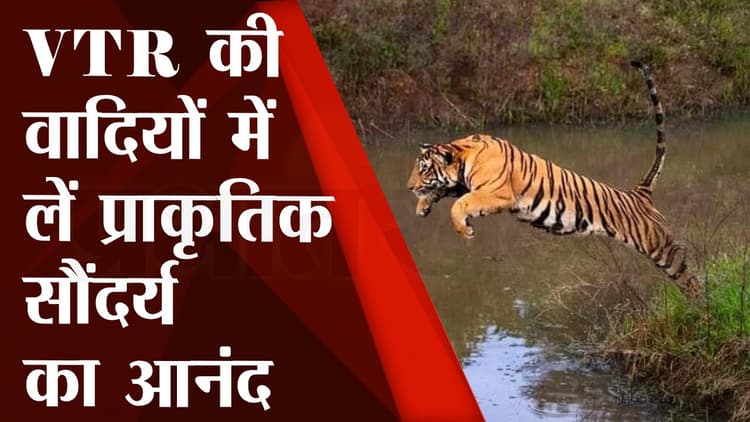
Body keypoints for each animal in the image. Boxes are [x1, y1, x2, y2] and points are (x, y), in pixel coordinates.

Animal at [407, 61, 704, 300]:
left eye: (423, 169)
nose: (409, 187)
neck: (464, 153)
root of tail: (639, 193)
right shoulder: (462, 185)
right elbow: (445, 193)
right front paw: (423, 206)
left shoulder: (496, 193)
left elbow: (459, 204)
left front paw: (464, 230)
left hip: (659, 246)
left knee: (686, 271)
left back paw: (701, 301)